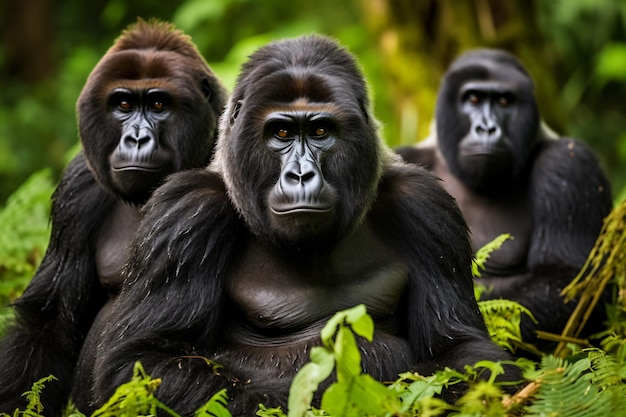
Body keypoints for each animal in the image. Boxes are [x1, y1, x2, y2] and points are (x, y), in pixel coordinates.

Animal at [89, 36, 516, 416]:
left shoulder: (426, 208)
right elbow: (140, 363)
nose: (300, 175)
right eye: (281, 132)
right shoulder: (186, 212)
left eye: (320, 131)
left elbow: (462, 351)